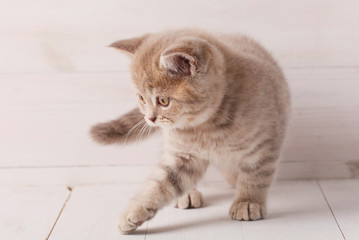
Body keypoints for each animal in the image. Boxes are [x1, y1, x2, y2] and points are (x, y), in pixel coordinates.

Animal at [91, 29, 292, 233]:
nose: (150, 118)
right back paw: (188, 195)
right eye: (141, 98)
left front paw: (248, 202)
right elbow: (161, 183)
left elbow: (256, 176)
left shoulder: (264, 146)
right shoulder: (182, 155)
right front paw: (134, 211)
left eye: (163, 101)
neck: (209, 127)